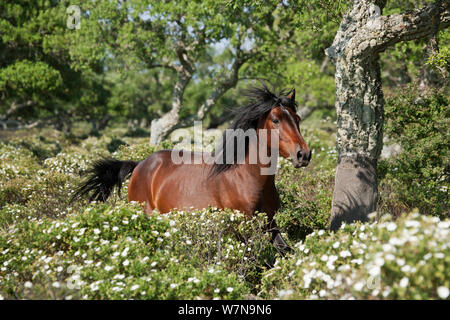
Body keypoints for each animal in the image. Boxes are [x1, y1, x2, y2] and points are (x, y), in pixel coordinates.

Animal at [74, 85, 312, 252]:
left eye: (297, 118)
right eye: (275, 119)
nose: (304, 154)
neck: (246, 177)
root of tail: (140, 164)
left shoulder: (270, 223)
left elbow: (283, 250)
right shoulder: (240, 228)